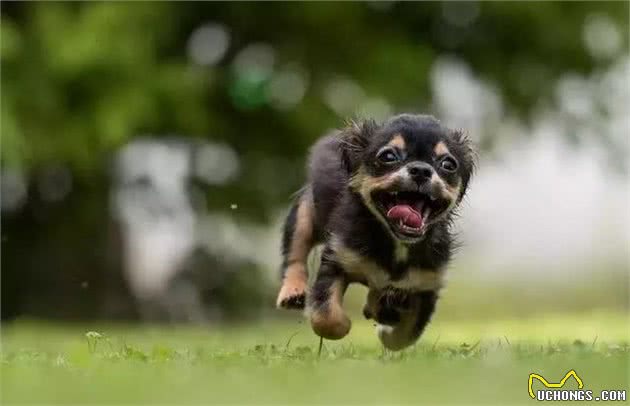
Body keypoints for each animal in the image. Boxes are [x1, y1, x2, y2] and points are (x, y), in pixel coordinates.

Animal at [276, 113, 474, 348]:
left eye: (448, 164)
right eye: (388, 156)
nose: (421, 170)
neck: (397, 243)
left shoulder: (426, 286)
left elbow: (405, 336)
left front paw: (386, 330)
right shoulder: (336, 260)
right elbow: (326, 317)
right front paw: (344, 325)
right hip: (305, 215)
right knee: (294, 255)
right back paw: (293, 291)